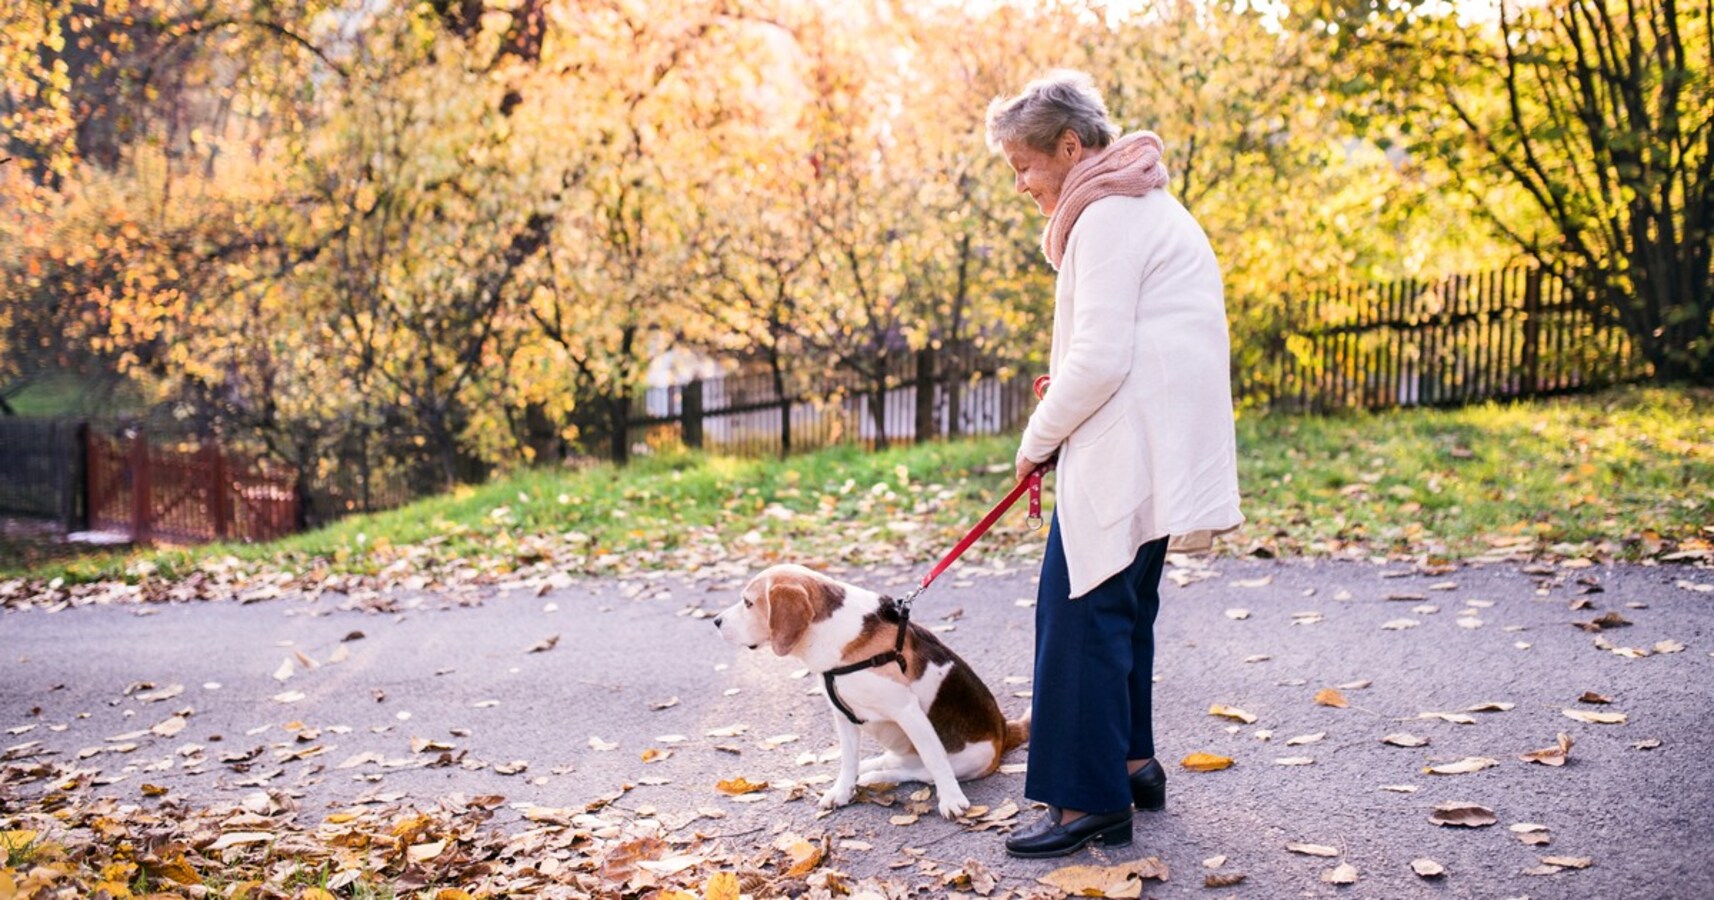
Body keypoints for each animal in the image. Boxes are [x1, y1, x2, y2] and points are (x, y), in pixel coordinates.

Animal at [713, 565, 1021, 816]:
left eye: (748, 602)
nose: (716, 621)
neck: (833, 633)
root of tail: (1005, 730)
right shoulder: (843, 716)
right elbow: (848, 761)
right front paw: (841, 791)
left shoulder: (908, 712)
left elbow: (935, 760)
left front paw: (952, 800)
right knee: (894, 763)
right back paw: (869, 770)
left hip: (970, 757)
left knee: (920, 772)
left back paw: (877, 778)